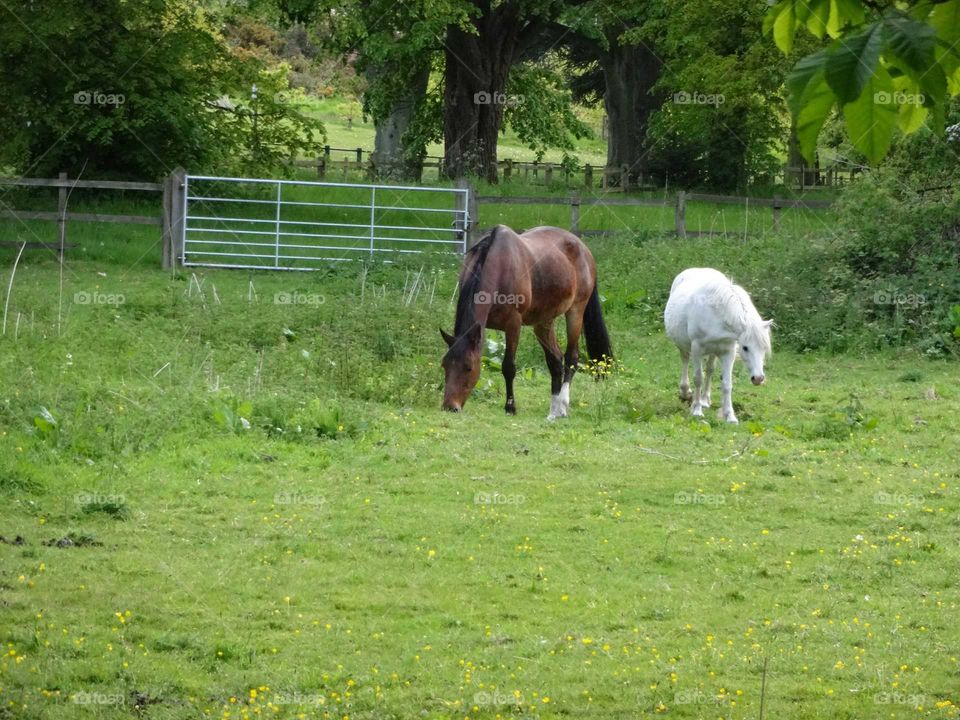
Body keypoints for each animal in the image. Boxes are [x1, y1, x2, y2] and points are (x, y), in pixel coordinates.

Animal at [440, 224, 612, 419]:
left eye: (468, 367)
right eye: (444, 365)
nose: (450, 406)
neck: (499, 266)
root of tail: (583, 248)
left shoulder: (513, 324)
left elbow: (508, 367)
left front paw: (510, 407)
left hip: (575, 311)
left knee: (571, 358)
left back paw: (562, 406)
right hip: (544, 321)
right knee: (555, 361)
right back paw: (553, 412)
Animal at [664, 267, 772, 424]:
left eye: (764, 349)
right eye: (745, 347)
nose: (758, 378)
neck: (716, 315)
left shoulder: (728, 352)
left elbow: (727, 384)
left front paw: (730, 416)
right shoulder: (696, 349)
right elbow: (698, 378)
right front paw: (697, 410)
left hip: (714, 352)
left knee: (709, 370)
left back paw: (705, 400)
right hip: (683, 345)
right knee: (685, 361)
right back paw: (686, 393)